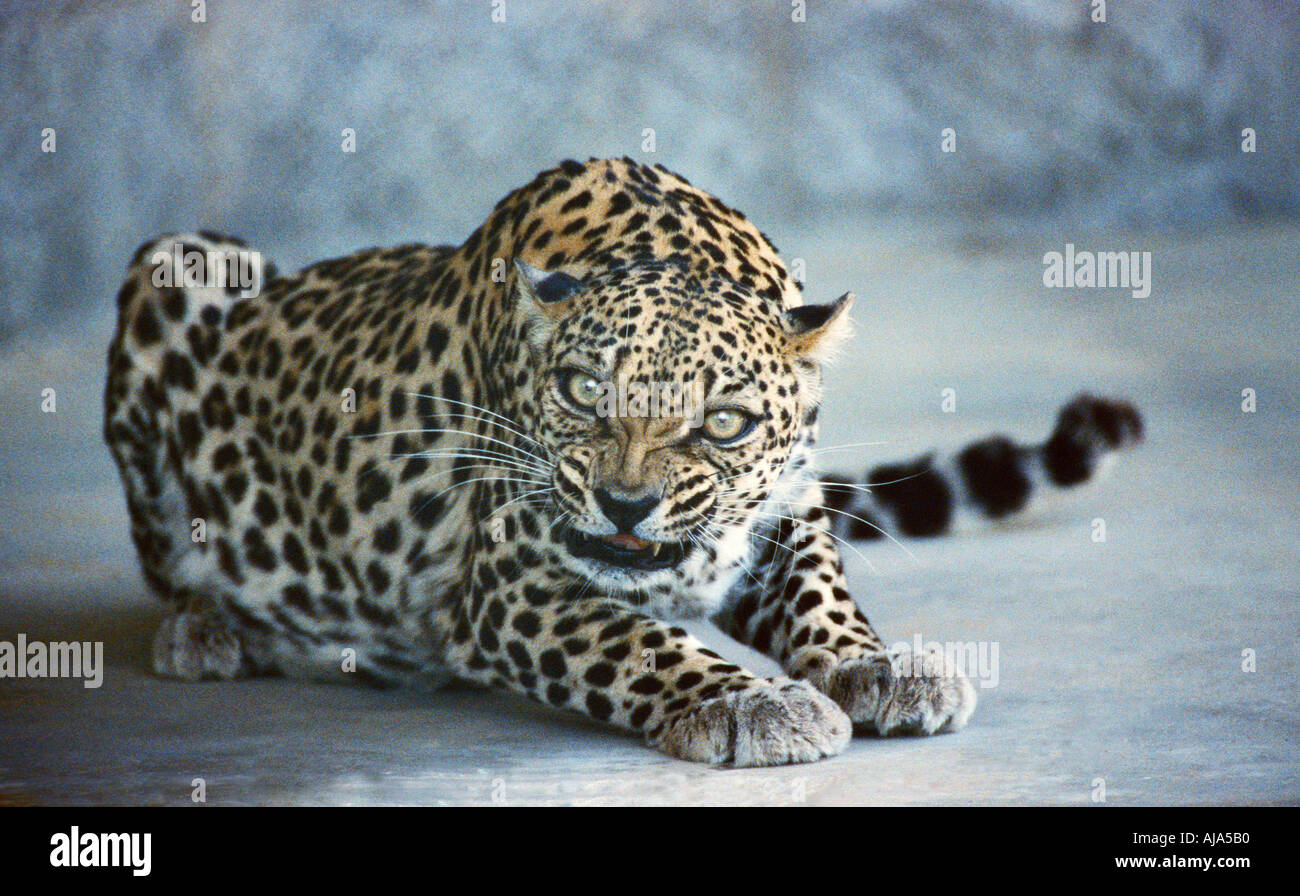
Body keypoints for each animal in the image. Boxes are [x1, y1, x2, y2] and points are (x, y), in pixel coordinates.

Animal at [104, 157, 1142, 766]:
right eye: (581, 391)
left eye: (723, 423)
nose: (625, 505)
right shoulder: (515, 581)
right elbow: (639, 643)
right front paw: (755, 703)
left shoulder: (786, 507)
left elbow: (821, 590)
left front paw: (876, 665)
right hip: (184, 264)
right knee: (167, 559)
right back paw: (215, 629)